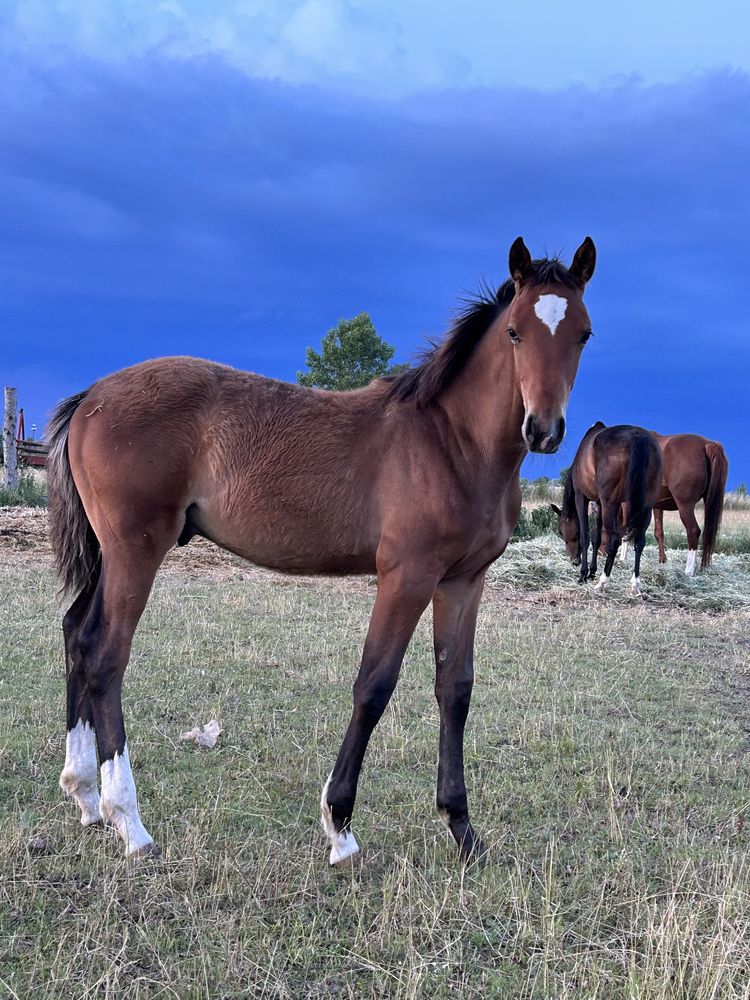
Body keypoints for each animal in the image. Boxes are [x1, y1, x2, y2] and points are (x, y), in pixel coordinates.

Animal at [45, 236, 600, 868]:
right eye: (513, 331)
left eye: (583, 333)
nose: (544, 430)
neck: (451, 443)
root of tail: (91, 396)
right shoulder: (405, 575)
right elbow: (374, 685)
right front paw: (340, 827)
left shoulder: (463, 581)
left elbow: (454, 689)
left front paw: (462, 830)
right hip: (135, 550)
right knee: (106, 654)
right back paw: (129, 821)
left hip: (108, 554)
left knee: (76, 634)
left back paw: (85, 796)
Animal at [552, 420, 664, 592]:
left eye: (561, 531)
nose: (574, 561)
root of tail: (639, 439)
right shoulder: (599, 503)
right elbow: (597, 538)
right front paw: (592, 572)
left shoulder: (582, 497)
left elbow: (585, 536)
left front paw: (584, 574)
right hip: (645, 507)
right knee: (639, 542)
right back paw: (634, 583)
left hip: (610, 504)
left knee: (615, 540)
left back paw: (603, 581)